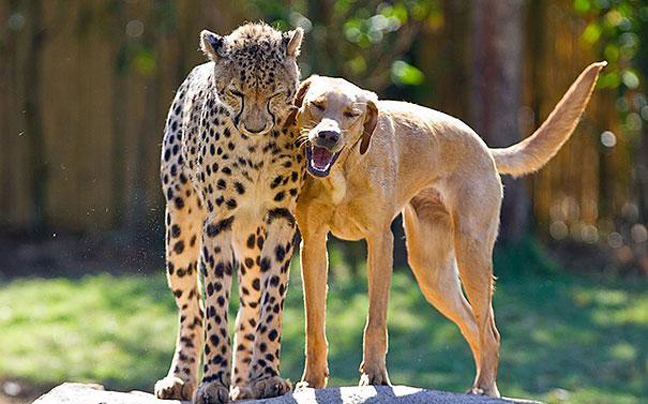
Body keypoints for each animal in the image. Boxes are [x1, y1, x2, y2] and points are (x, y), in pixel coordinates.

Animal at [156, 23, 306, 402]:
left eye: (275, 94)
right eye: (236, 92)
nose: (254, 126)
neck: (255, 149)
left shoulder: (281, 218)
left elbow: (271, 303)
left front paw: (265, 375)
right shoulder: (218, 222)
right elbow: (215, 309)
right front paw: (212, 381)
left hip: (252, 240)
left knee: (249, 306)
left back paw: (243, 383)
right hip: (180, 229)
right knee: (191, 307)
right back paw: (181, 378)